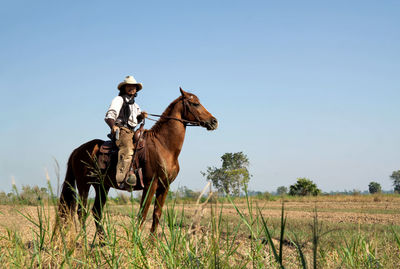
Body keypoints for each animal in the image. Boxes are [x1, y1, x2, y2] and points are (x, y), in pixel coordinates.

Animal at [57, 87, 217, 237]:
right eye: (195, 104)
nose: (214, 121)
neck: (163, 145)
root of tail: (77, 150)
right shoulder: (151, 184)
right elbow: (143, 214)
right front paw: (137, 242)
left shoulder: (164, 186)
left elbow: (156, 215)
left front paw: (152, 244)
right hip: (84, 184)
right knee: (81, 212)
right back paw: (84, 241)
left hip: (101, 186)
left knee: (96, 212)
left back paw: (103, 242)